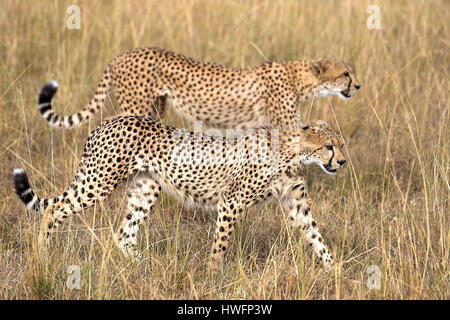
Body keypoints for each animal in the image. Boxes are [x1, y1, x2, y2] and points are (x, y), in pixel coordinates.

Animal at [14, 82, 346, 268]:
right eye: (329, 146)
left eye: (342, 145)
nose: (342, 162)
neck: (294, 153)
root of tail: (109, 120)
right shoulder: (231, 201)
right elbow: (221, 242)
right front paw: (214, 272)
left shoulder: (295, 204)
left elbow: (316, 237)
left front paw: (336, 271)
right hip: (99, 181)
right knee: (55, 208)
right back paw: (43, 253)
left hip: (146, 188)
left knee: (123, 234)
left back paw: (145, 265)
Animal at [38, 46, 362, 131]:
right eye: (346, 73)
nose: (358, 85)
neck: (299, 78)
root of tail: (121, 54)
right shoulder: (287, 124)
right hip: (135, 107)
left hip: (155, 109)